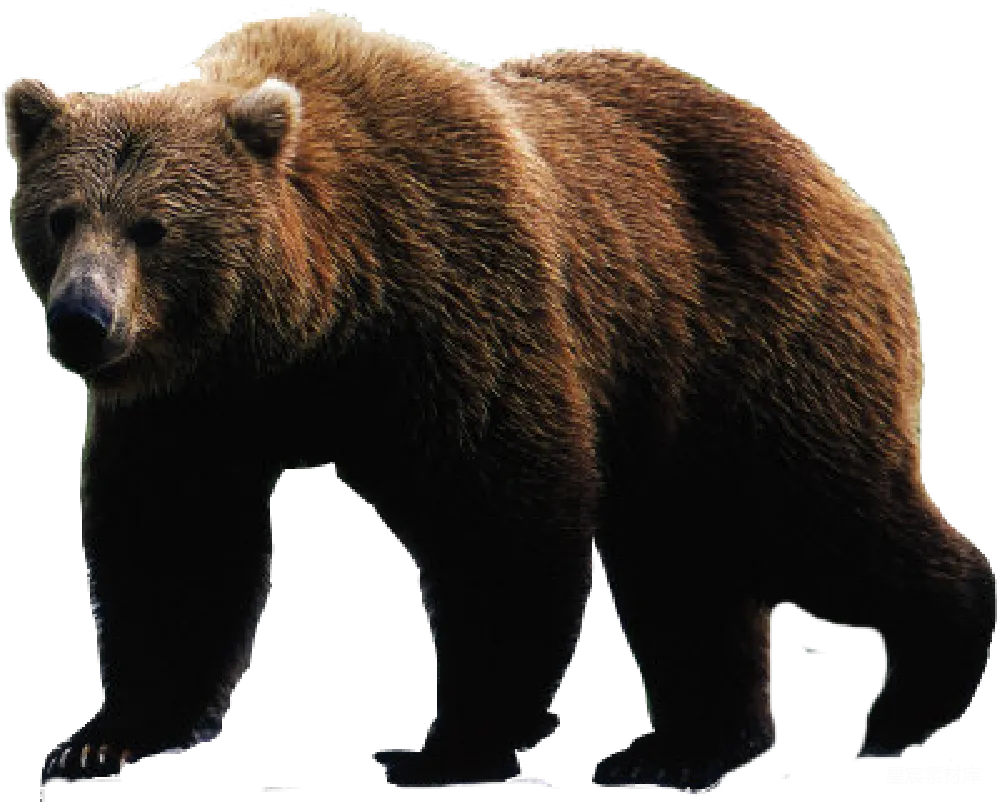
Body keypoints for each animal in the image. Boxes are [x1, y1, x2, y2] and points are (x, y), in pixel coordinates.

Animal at [10, 14, 994, 793]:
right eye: (61, 217)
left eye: (153, 228)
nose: (84, 320)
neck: (313, 322)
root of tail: (840, 183)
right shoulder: (198, 399)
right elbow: (172, 546)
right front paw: (103, 738)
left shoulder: (456, 306)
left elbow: (500, 519)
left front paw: (446, 748)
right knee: (685, 560)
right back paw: (685, 745)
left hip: (751, 334)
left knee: (807, 510)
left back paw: (915, 692)